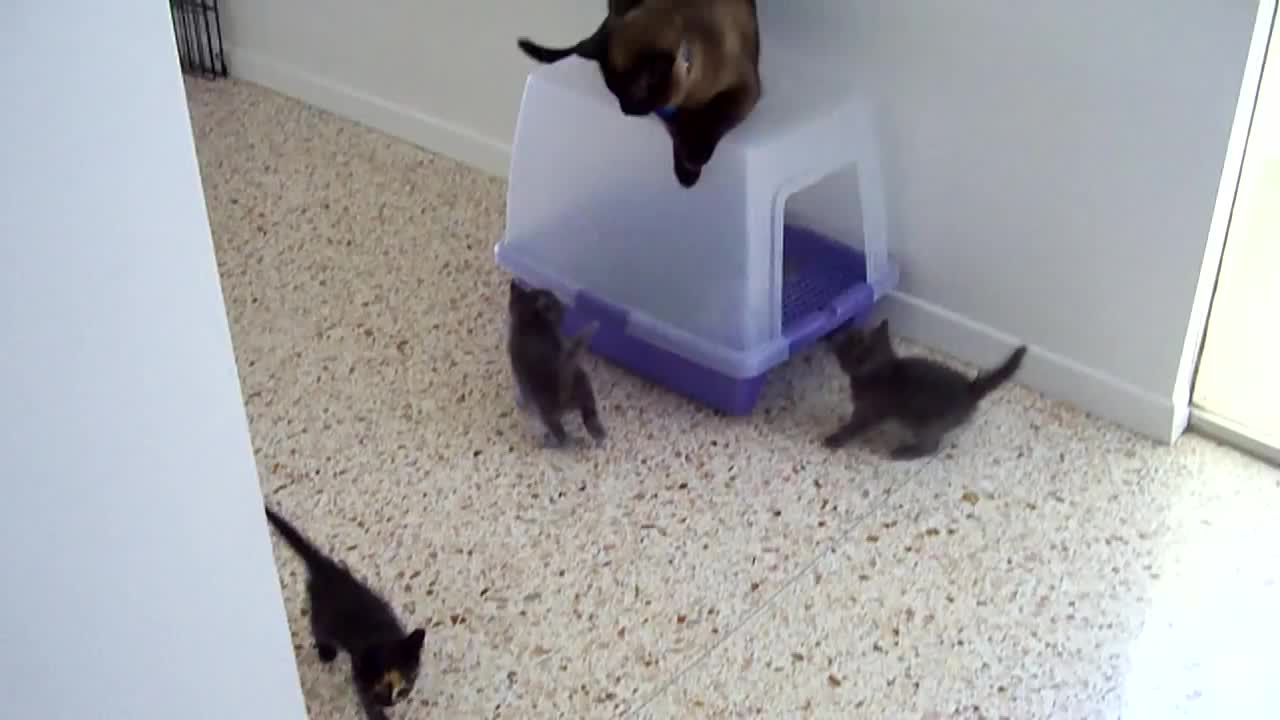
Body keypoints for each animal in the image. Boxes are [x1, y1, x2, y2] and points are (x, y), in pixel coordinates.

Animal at [262, 504, 427, 717]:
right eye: (379, 689)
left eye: (402, 687)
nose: (390, 703)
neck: (383, 637)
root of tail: (327, 569)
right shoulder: (360, 677)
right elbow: (367, 702)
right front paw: (378, 714)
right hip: (323, 615)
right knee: (318, 629)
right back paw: (326, 652)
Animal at [506, 279, 606, 443]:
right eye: (558, 307)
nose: (564, 309)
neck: (531, 322)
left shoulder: (519, 372)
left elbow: (523, 392)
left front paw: (521, 403)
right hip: (585, 388)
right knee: (590, 416)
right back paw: (600, 435)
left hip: (547, 411)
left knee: (561, 435)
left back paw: (549, 442)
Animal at [517, 1, 757, 185]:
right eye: (615, 95)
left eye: (631, 98)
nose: (624, 110)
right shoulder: (667, 111)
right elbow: (679, 131)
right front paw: (687, 172)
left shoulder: (744, 89)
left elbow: (714, 118)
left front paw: (693, 163)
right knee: (585, 41)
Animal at [819, 319, 1029, 458]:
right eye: (852, 353)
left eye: (868, 352)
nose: (861, 362)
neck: (878, 373)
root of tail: (969, 388)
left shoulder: (870, 411)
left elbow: (854, 426)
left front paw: (836, 439)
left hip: (925, 423)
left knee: (931, 446)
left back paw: (904, 452)